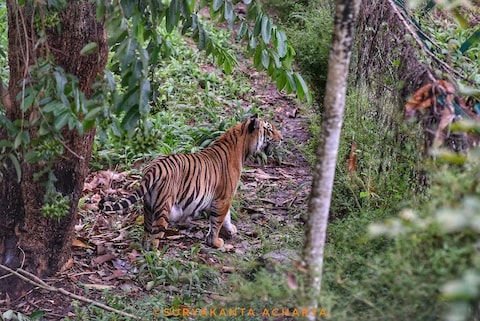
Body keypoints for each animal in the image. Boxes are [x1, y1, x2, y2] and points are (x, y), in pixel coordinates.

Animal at [99, 114, 284, 249]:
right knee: (155, 238)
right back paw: (156, 257)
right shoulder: (223, 197)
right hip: (164, 208)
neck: (242, 145)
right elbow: (217, 221)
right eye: (269, 129)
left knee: (146, 231)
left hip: (148, 206)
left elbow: (226, 217)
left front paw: (230, 230)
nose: (282, 138)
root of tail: (154, 168)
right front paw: (216, 242)